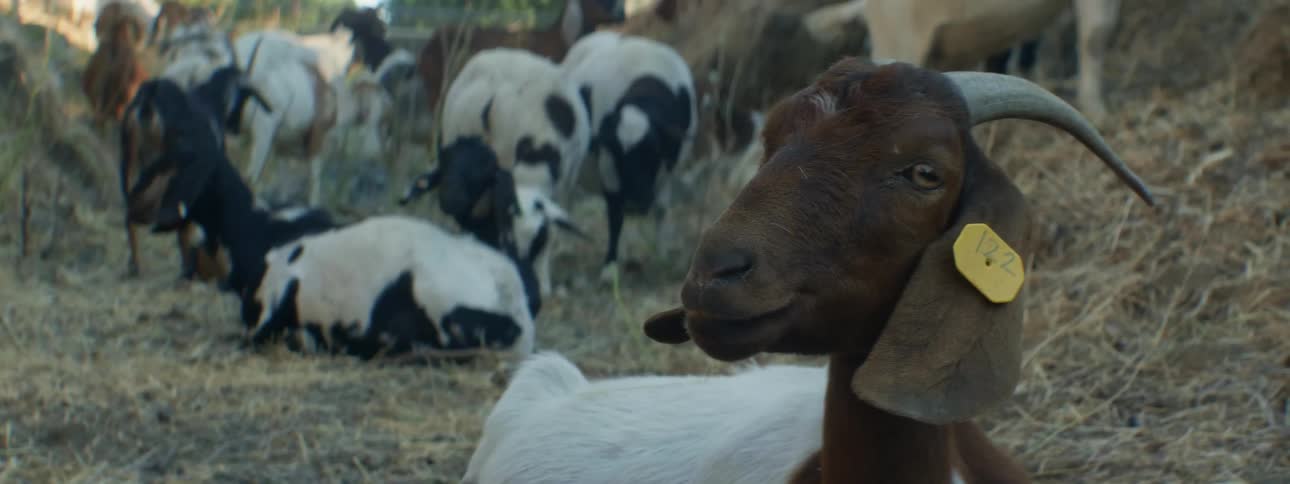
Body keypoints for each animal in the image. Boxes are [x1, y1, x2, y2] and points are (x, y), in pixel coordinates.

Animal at [560, 31, 697, 281]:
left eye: (653, 151)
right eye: (616, 153)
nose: (634, 202)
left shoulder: (670, 167)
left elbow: (661, 210)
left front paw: (662, 255)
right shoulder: (608, 167)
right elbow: (615, 216)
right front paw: (609, 268)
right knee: (567, 198)